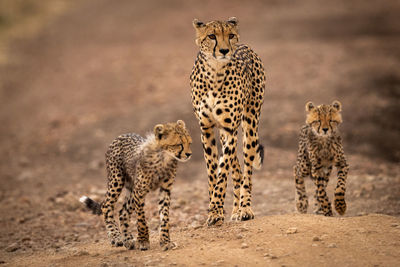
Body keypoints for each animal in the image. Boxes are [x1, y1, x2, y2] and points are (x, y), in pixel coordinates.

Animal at [79, 121, 192, 251]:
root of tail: (122, 135)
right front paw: (143, 241)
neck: (163, 158)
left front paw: (165, 241)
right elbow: (141, 219)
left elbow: (164, 217)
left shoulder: (165, 190)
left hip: (131, 189)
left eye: (189, 143)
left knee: (123, 212)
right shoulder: (140, 191)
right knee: (106, 206)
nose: (189, 154)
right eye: (179, 144)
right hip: (117, 181)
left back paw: (127, 239)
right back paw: (116, 237)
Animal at [191, 16, 266, 226]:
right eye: (211, 36)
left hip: (250, 125)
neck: (215, 73)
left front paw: (216, 210)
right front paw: (214, 210)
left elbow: (222, 172)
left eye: (230, 35)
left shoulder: (229, 128)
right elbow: (213, 172)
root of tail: (246, 46)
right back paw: (235, 209)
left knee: (246, 169)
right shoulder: (207, 129)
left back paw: (245, 208)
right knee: (236, 167)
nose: (224, 50)